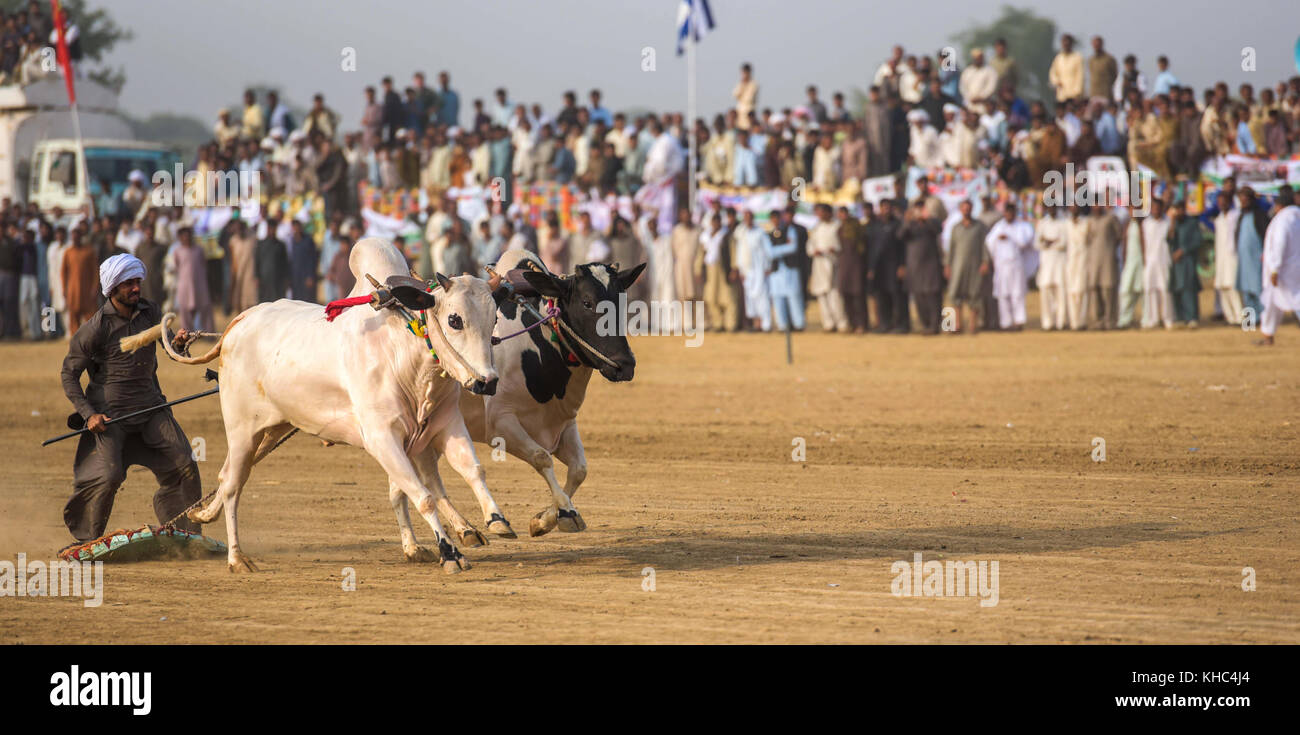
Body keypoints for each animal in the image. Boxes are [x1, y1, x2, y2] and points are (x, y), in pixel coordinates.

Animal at [144, 235, 509, 572]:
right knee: (234, 484)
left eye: (493, 319)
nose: (487, 381)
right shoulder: (382, 437)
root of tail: (239, 321)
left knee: (227, 476)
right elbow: (424, 496)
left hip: (273, 429)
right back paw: (237, 558)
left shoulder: (442, 426)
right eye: (454, 320)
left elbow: (466, 472)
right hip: (241, 430)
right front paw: (449, 552)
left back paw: (204, 515)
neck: (407, 353)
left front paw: (493, 520)